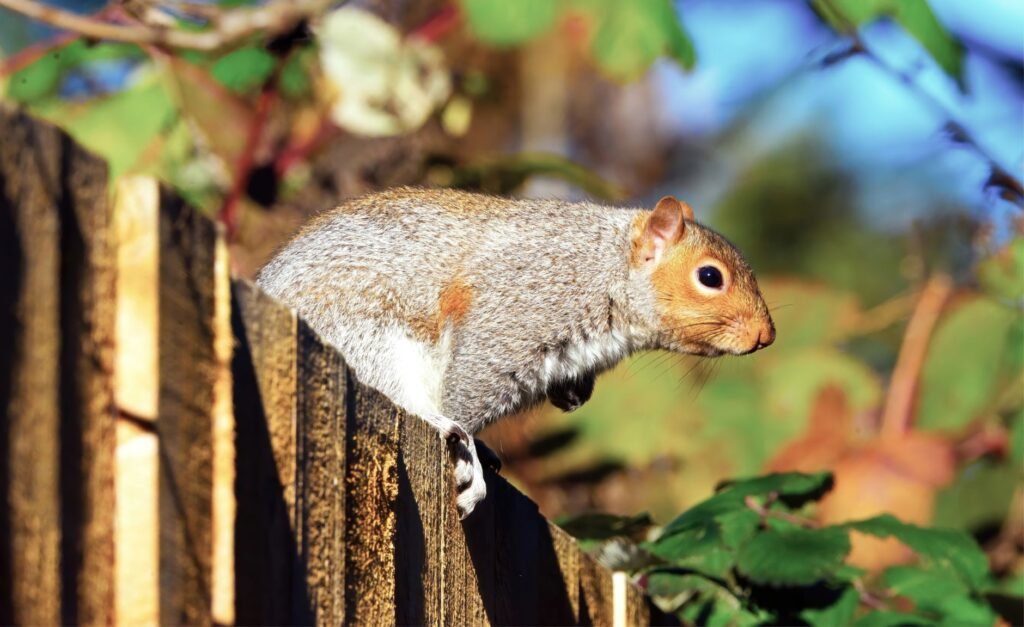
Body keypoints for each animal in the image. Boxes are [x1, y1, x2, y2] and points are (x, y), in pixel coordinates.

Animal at [257, 187, 775, 517]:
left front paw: (573, 392)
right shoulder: (512, 313)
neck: (604, 268)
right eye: (710, 277)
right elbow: (468, 388)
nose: (765, 336)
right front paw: (466, 448)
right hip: (364, 331)